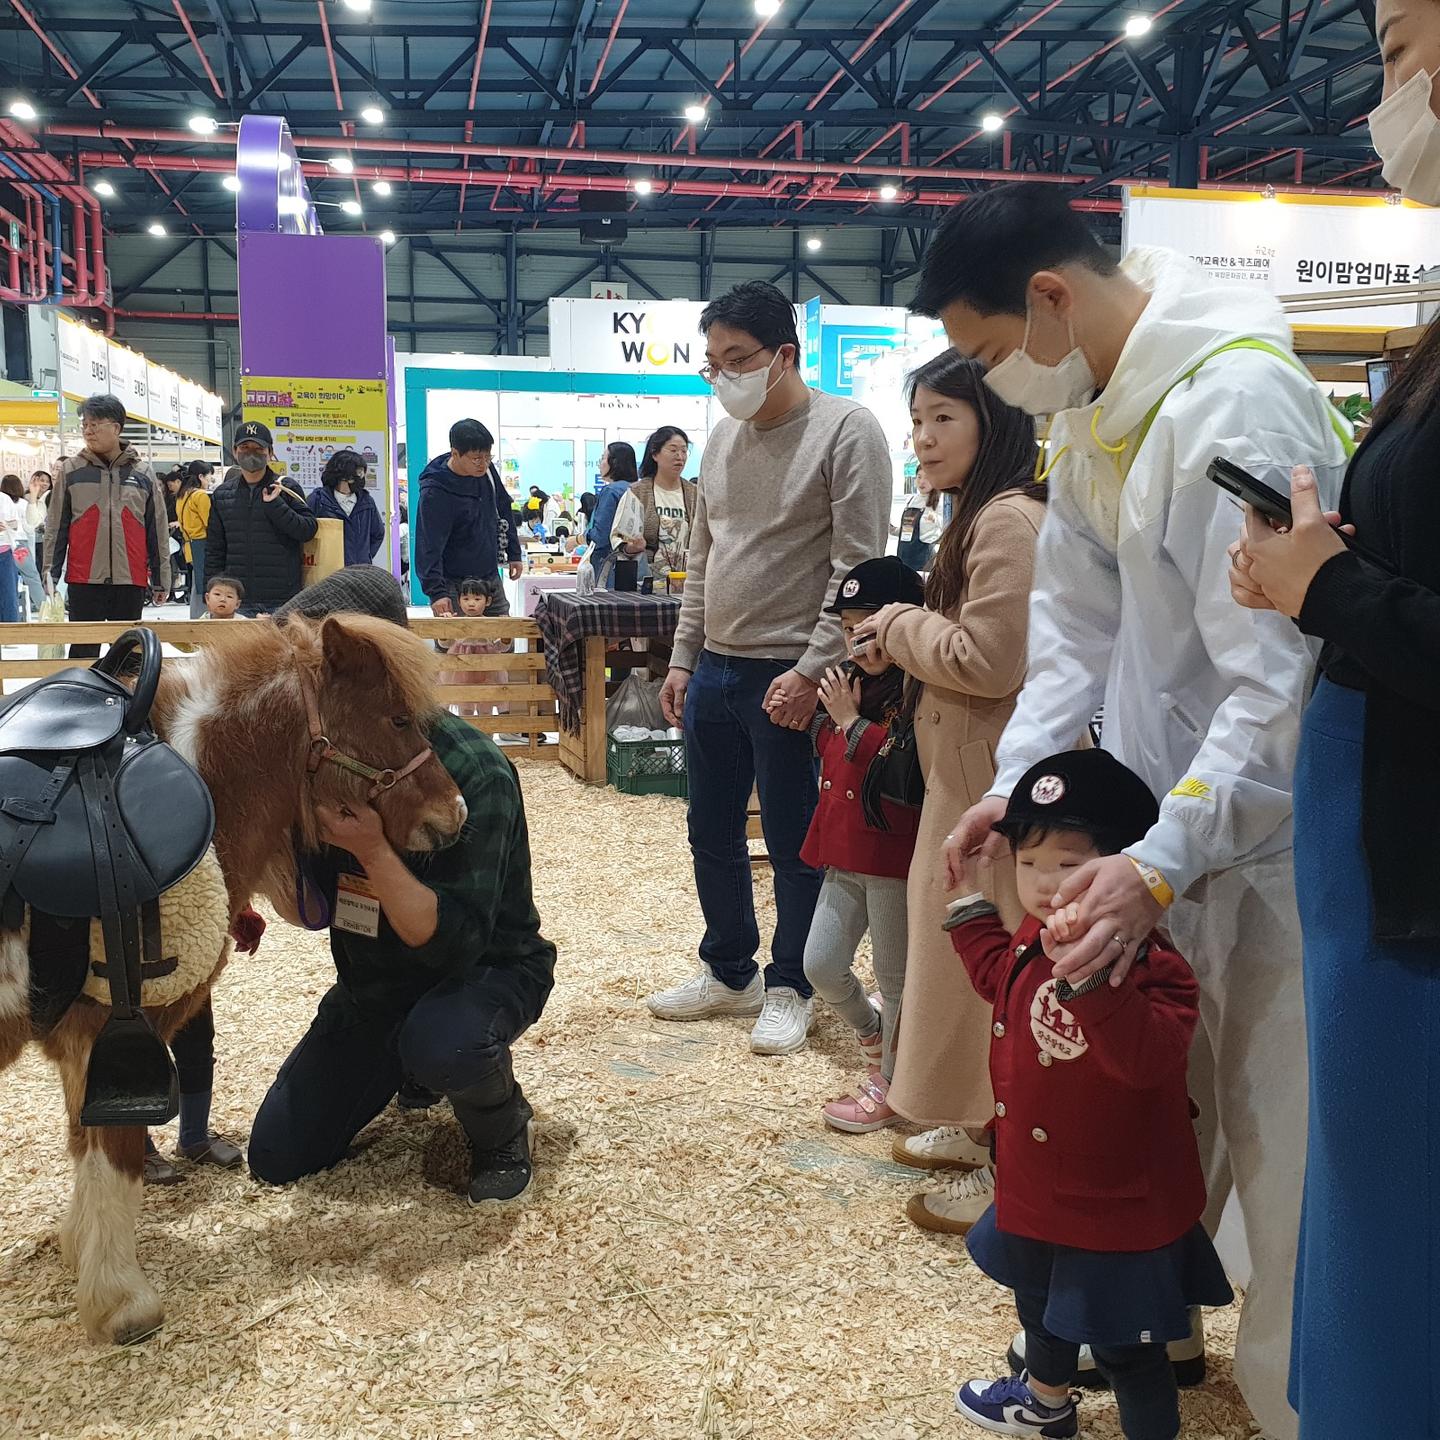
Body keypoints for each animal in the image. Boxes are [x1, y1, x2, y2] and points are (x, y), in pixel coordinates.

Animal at [0, 613, 460, 1342]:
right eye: (396, 718)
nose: (455, 814)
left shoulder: (82, 1049)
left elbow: (85, 1149)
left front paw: (84, 1256)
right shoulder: (113, 1034)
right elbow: (114, 1157)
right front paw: (122, 1301)